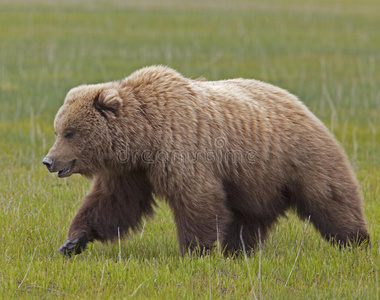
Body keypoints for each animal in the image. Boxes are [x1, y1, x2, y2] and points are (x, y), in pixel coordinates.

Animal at [43, 65, 370, 255]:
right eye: (58, 129)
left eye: (70, 132)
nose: (48, 161)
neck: (145, 136)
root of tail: (301, 104)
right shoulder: (133, 170)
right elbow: (114, 203)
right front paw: (73, 241)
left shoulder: (181, 148)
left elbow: (196, 197)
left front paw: (195, 250)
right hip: (256, 179)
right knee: (250, 216)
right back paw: (238, 249)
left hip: (297, 157)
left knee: (330, 197)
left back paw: (356, 240)